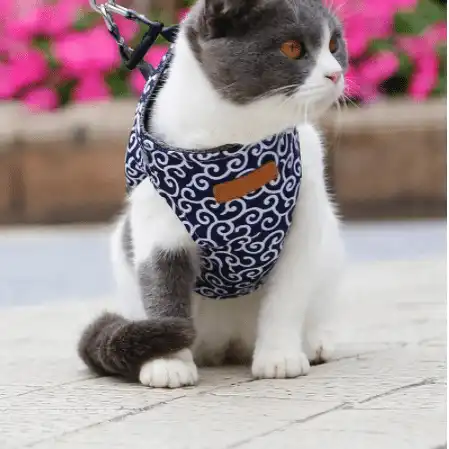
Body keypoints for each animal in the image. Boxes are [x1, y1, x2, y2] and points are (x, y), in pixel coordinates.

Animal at [78, 0, 348, 388]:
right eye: (292, 48)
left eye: (334, 45)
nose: (335, 74)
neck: (234, 149)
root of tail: (228, 342)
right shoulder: (156, 226)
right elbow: (162, 290)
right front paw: (167, 362)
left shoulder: (304, 221)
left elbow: (286, 298)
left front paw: (279, 357)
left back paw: (314, 343)